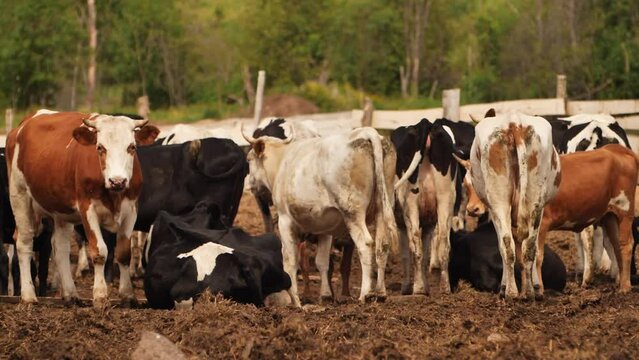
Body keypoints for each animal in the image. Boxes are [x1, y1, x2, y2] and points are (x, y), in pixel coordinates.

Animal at [6, 110, 159, 306]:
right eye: (100, 147)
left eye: (132, 147)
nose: (117, 181)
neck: (113, 193)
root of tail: (26, 122)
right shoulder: (88, 211)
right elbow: (100, 251)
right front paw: (100, 295)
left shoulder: (131, 210)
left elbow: (123, 253)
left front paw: (128, 295)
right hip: (20, 197)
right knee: (24, 243)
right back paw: (28, 296)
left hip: (61, 212)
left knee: (60, 247)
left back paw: (70, 294)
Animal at [460, 111, 560, 300]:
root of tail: (514, 123)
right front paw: (535, 287)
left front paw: (506, 287)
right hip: (534, 201)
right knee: (528, 247)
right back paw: (528, 292)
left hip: (499, 203)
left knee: (507, 245)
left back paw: (511, 293)